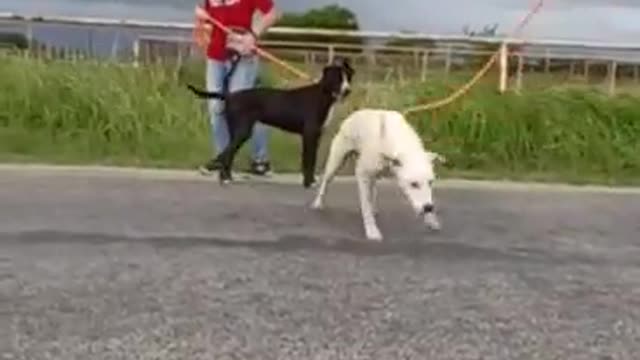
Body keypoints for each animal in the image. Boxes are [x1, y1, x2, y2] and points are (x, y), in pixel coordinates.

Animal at [185, 56, 356, 188]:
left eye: (348, 77)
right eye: (338, 78)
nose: (347, 90)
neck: (322, 94)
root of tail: (230, 95)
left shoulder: (315, 136)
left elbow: (310, 160)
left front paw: (311, 181)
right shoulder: (309, 135)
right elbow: (308, 161)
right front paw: (309, 183)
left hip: (237, 132)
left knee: (229, 153)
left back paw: (228, 178)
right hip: (242, 131)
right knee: (227, 153)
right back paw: (224, 179)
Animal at [312, 107, 444, 242]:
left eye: (431, 182)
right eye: (414, 184)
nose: (428, 207)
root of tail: (354, 114)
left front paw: (431, 220)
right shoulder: (363, 174)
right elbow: (365, 205)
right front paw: (372, 230)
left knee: (373, 188)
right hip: (336, 161)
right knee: (326, 181)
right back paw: (318, 202)